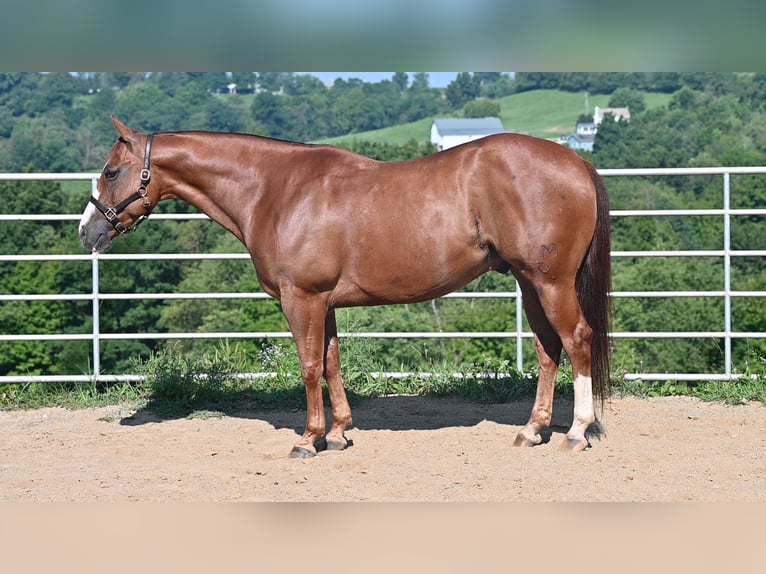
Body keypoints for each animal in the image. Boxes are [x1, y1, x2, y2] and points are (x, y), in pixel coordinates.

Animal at [80, 116, 612, 458]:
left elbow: (309, 367)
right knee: (548, 348)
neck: (275, 189)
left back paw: (576, 432)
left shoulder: (301, 299)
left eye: (111, 171)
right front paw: (338, 434)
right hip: (530, 283)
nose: (88, 232)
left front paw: (307, 440)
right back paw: (533, 430)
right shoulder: (325, 303)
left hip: (550, 282)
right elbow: (332, 363)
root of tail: (575, 161)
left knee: (576, 340)